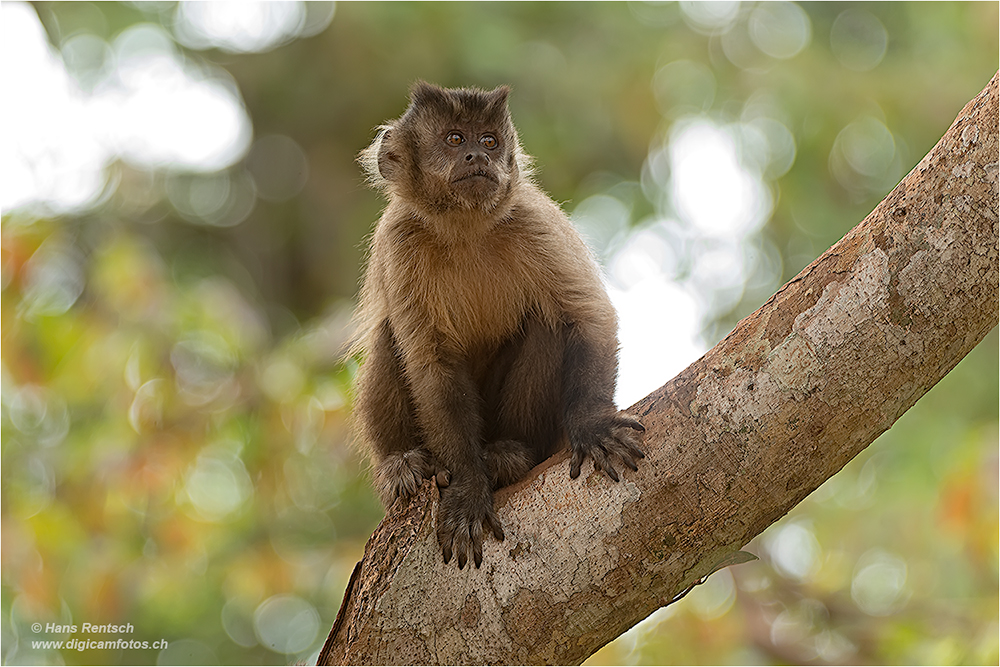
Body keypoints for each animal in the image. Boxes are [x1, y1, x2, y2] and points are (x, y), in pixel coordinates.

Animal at [356, 82, 644, 568]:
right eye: (455, 139)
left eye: (489, 141)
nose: (478, 156)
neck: (465, 225)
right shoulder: (400, 239)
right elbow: (432, 366)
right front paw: (469, 488)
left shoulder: (532, 217)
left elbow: (589, 316)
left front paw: (591, 422)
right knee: (388, 335)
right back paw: (403, 465)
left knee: (548, 321)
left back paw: (509, 454)